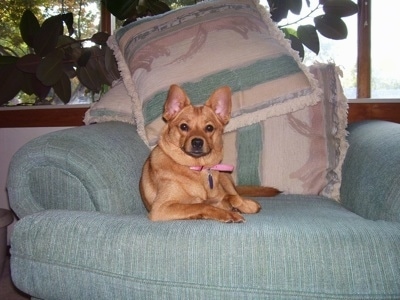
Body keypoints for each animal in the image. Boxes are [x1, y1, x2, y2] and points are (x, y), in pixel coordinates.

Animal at [139, 84, 280, 223]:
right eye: (184, 126)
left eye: (209, 128)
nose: (197, 142)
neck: (197, 169)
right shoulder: (161, 208)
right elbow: (201, 205)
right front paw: (228, 214)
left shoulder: (218, 197)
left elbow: (230, 197)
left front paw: (245, 205)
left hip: (224, 177)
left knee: (234, 193)